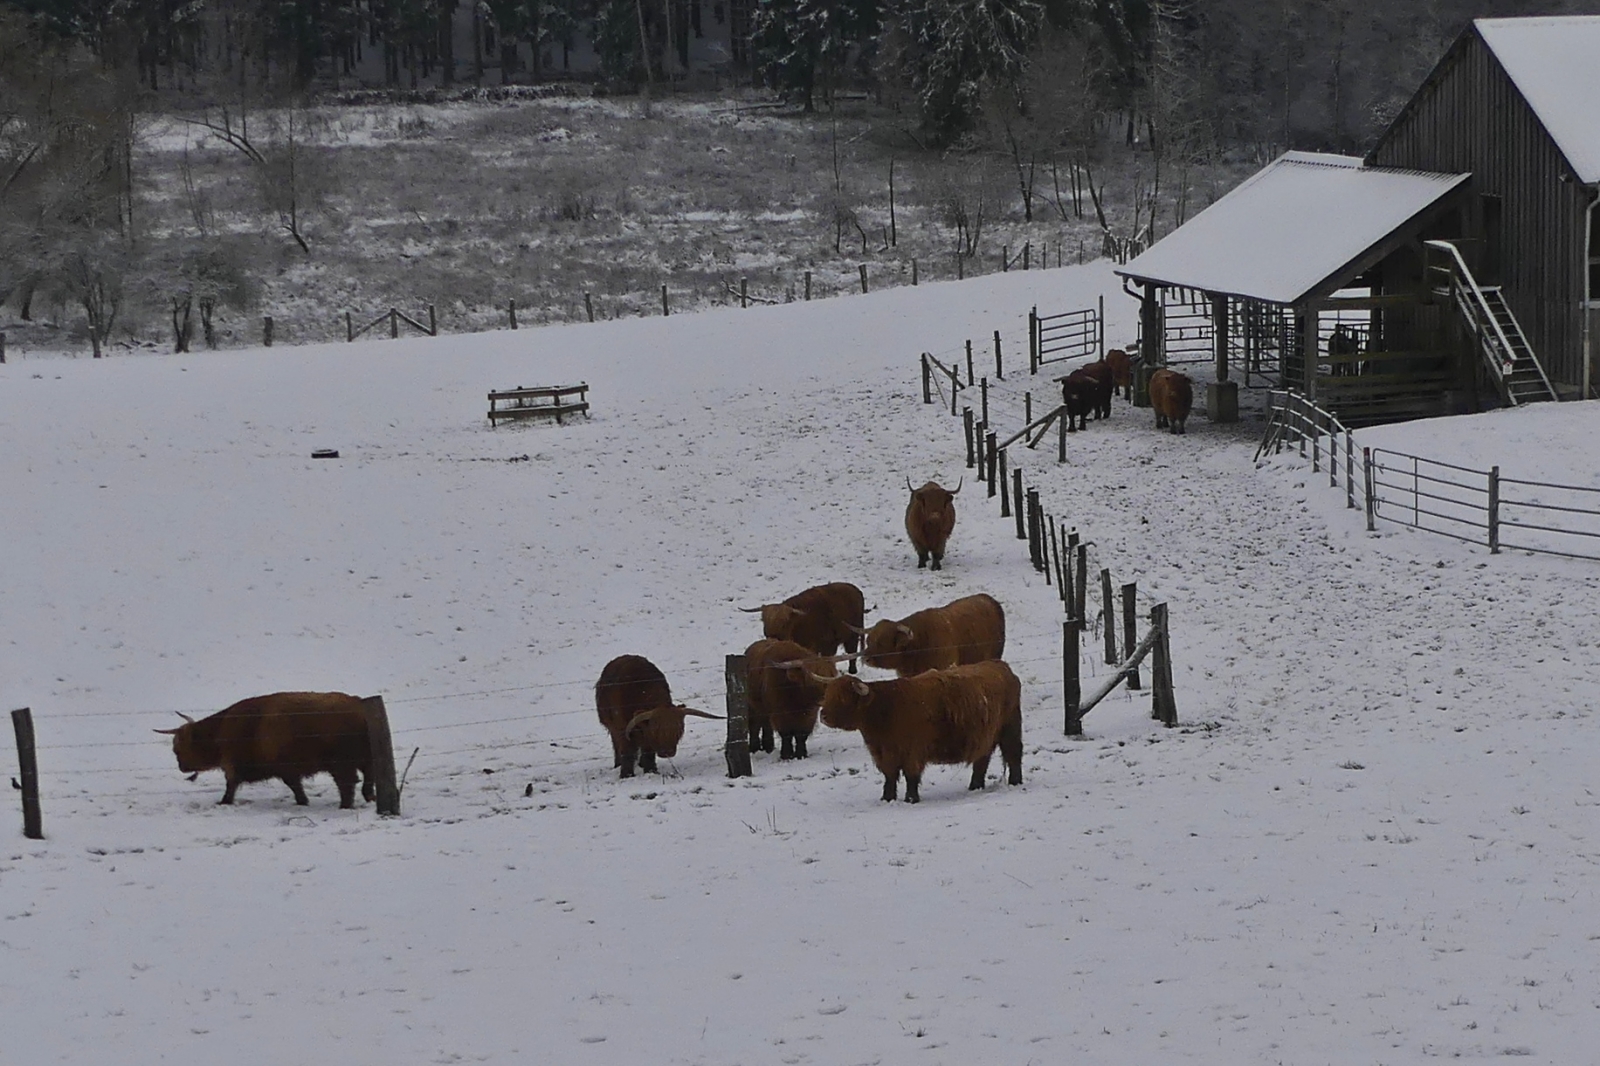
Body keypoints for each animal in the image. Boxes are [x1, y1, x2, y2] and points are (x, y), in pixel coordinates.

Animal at [155, 688, 374, 806]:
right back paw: (369, 796)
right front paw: (303, 801)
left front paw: (224, 801)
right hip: (363, 758)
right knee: (367, 776)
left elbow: (231, 785)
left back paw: (345, 805)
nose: (181, 766)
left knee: (347, 783)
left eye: (177, 748)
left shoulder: (236, 765)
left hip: (341, 764)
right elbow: (295, 787)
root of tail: (358, 705)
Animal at [736, 582, 864, 672]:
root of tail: (855, 589)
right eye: (764, 621)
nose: (772, 637)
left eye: (784, 623)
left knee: (852, 651)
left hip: (852, 634)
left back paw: (852, 670)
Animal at [819, 659, 1030, 800]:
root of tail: (1001, 665)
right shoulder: (885, 754)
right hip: (984, 736)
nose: (823, 716)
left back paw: (1015, 782)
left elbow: (911, 776)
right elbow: (890, 776)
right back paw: (974, 786)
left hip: (1010, 728)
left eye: (843, 697)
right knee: (981, 760)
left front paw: (911, 799)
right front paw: (887, 798)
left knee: (1013, 753)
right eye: (827, 694)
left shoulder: (913, 752)